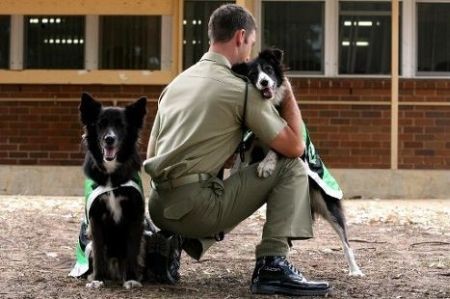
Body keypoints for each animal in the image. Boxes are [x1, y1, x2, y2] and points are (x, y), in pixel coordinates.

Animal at [78, 93, 147, 288]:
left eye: (121, 125)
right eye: (101, 124)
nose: (109, 138)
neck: (111, 177)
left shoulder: (135, 216)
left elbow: (132, 251)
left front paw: (131, 278)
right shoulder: (95, 218)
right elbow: (99, 252)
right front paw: (98, 279)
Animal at [230, 48, 364, 276]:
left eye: (268, 70)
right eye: (253, 74)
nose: (264, 82)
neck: (269, 105)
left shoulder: (292, 137)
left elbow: (276, 150)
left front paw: (266, 165)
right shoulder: (250, 140)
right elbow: (241, 160)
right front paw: (234, 173)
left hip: (328, 204)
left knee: (345, 240)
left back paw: (355, 270)